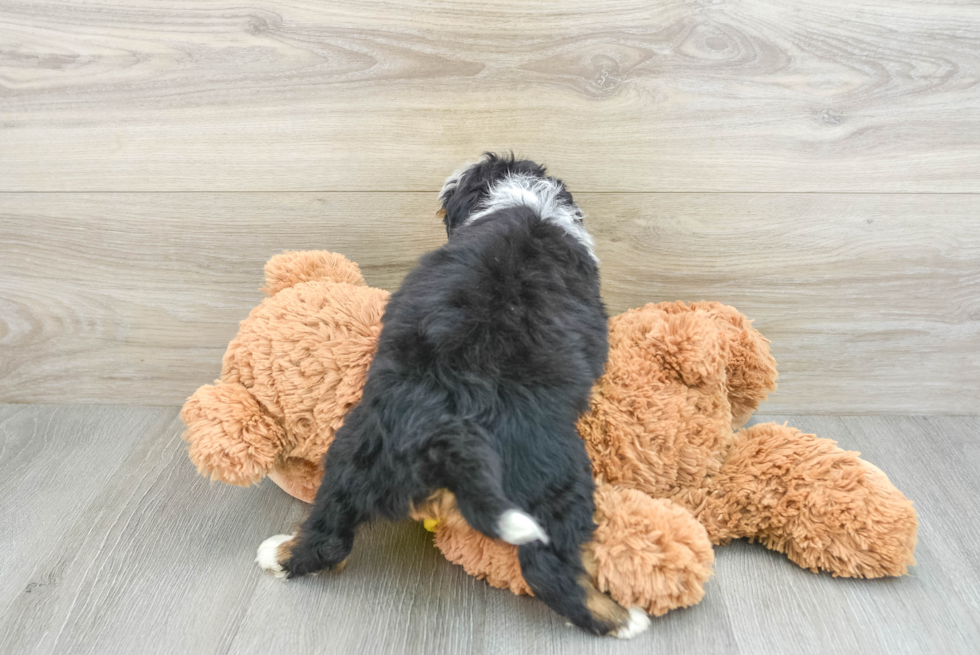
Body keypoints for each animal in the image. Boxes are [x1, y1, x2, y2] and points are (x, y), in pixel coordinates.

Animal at [256, 151, 648, 640]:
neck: (522, 200)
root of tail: (443, 433)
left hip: (355, 453)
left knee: (329, 534)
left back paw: (279, 554)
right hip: (554, 480)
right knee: (548, 571)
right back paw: (622, 619)